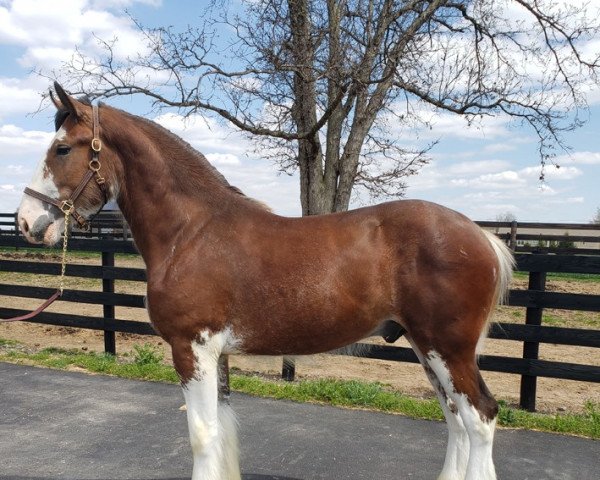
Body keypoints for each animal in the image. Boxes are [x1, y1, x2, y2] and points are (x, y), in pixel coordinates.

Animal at [17, 84, 516, 480]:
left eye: (63, 149)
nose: (25, 221)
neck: (191, 232)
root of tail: (482, 236)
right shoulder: (215, 354)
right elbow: (221, 431)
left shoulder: (191, 348)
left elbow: (202, 435)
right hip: (425, 348)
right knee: (456, 420)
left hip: (447, 349)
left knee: (480, 418)